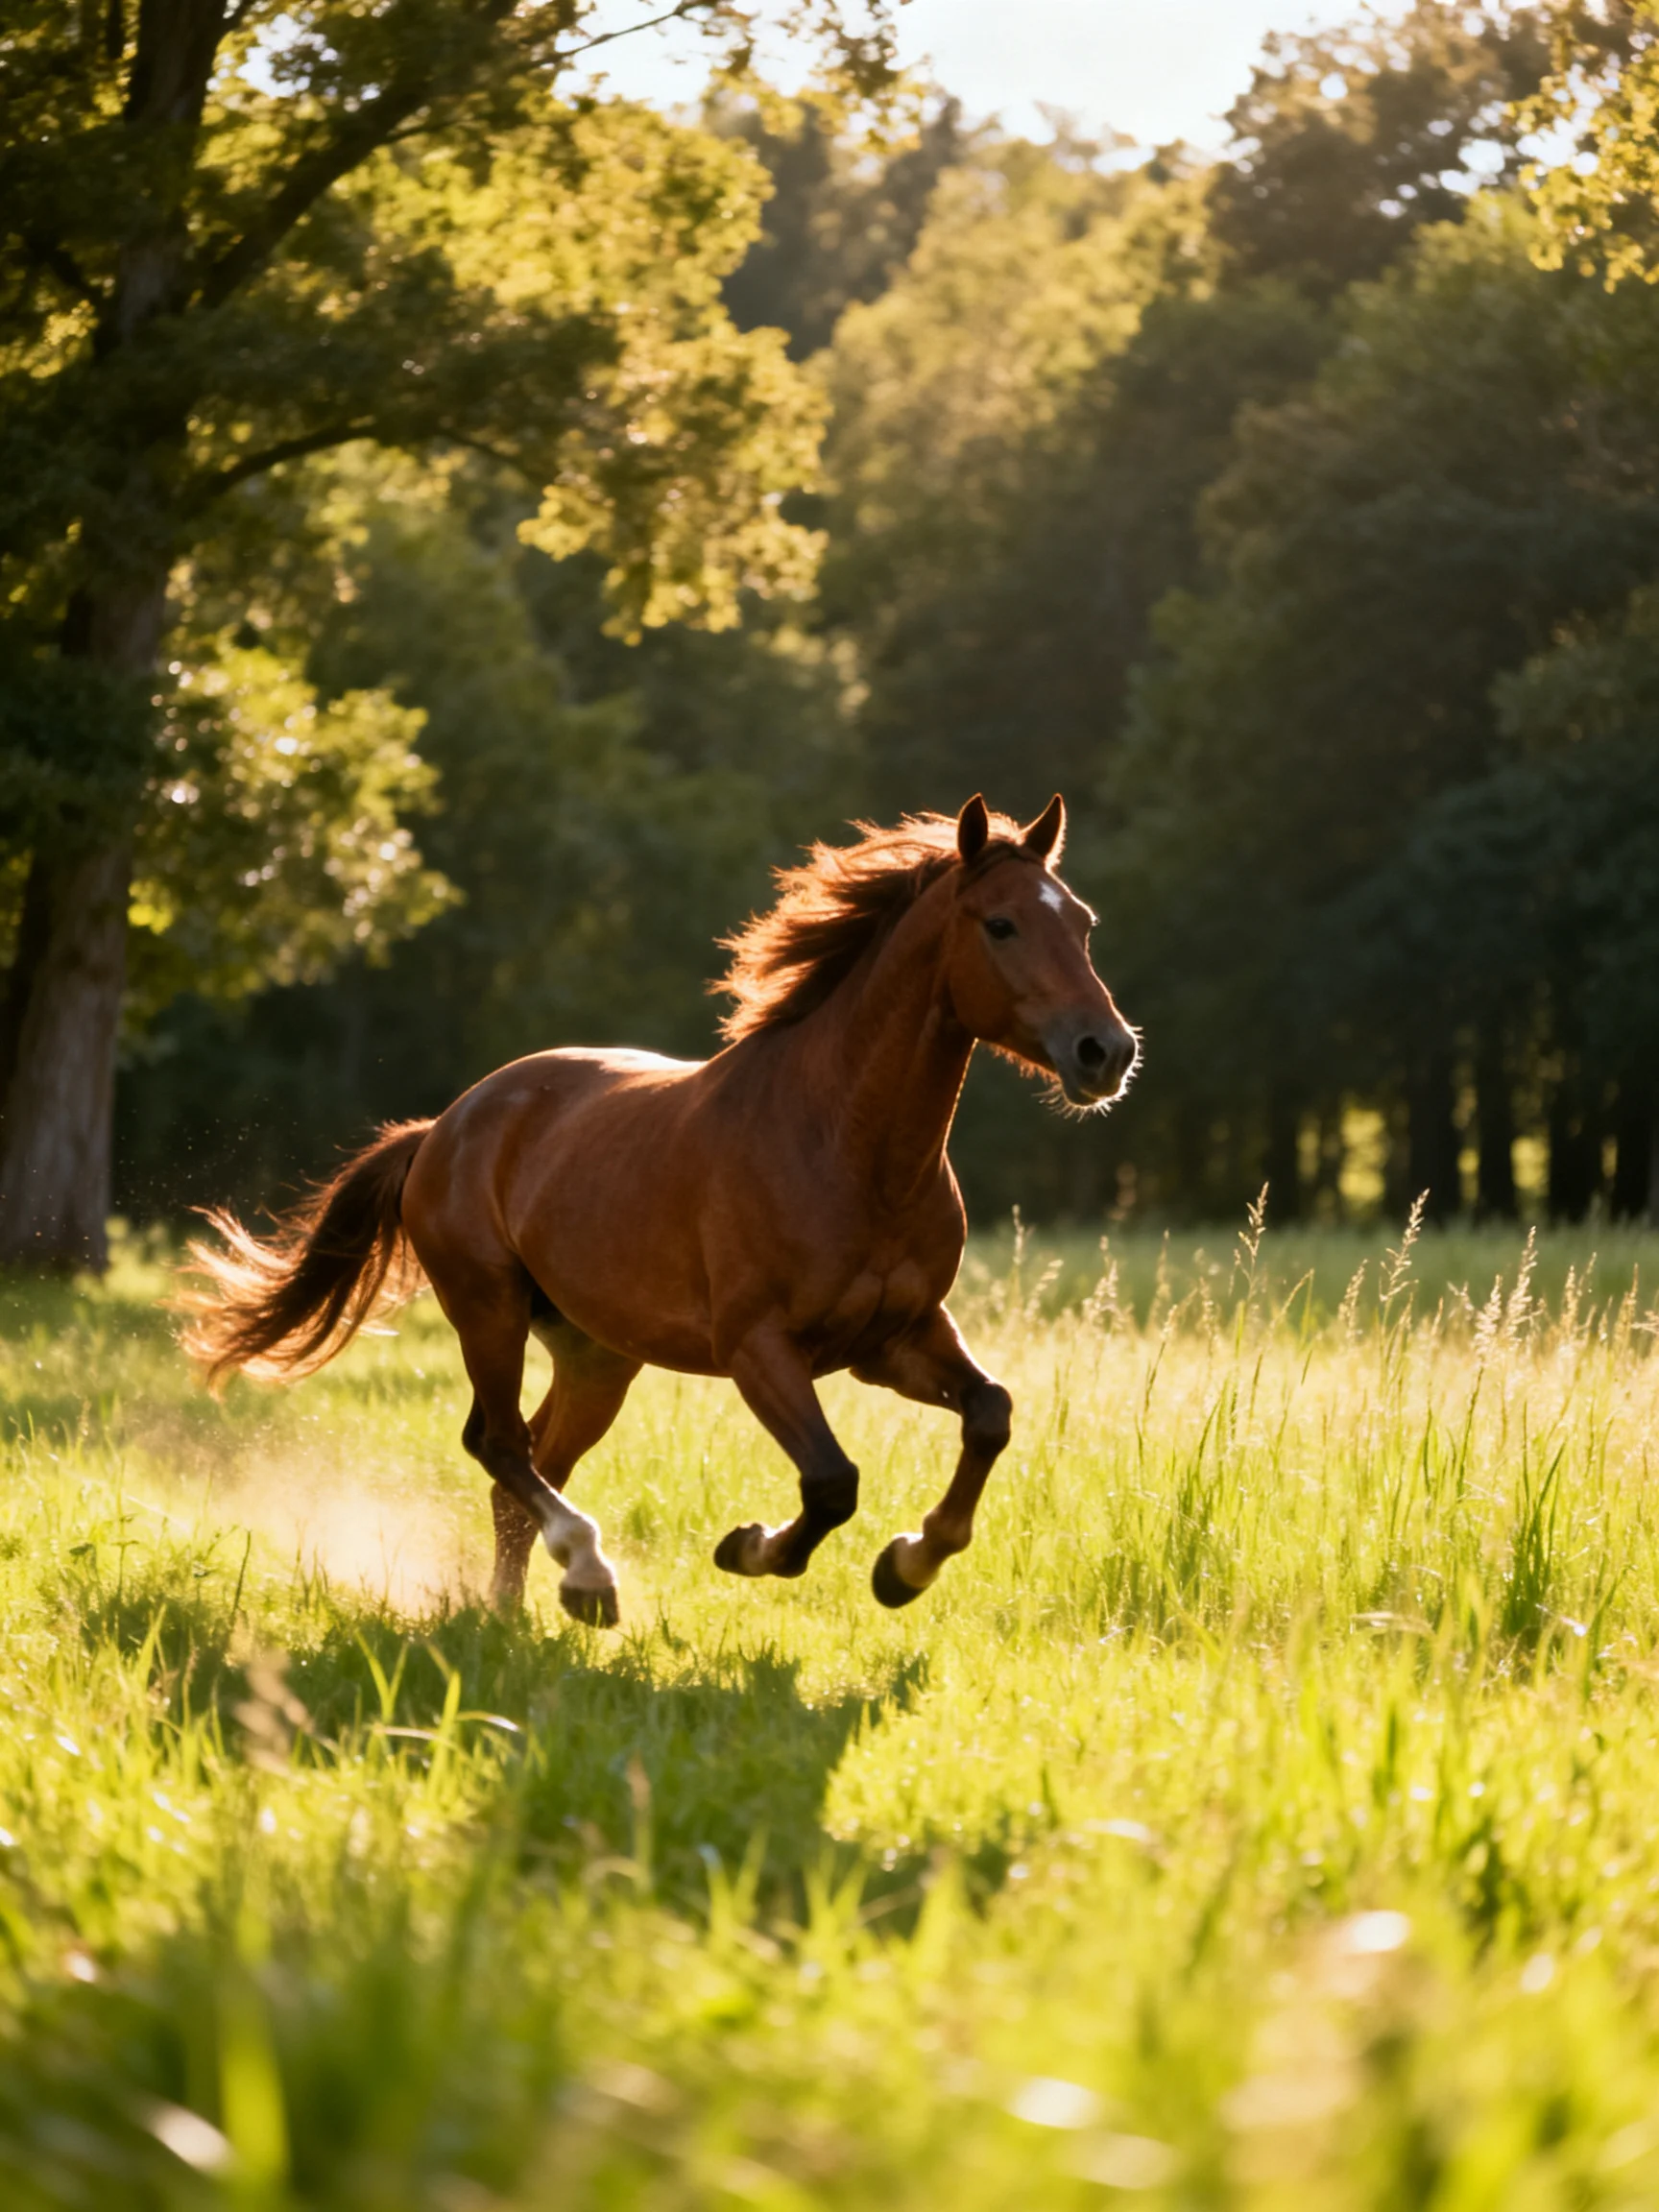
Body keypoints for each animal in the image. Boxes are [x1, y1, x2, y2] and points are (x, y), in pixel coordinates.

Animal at [183, 794, 1139, 1626]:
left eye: (1086, 923)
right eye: (1001, 924)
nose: (1107, 1052)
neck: (846, 1148)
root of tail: (444, 1126)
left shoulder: (894, 1340)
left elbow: (990, 1413)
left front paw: (907, 1566)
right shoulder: (759, 1348)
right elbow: (833, 1482)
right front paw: (752, 1549)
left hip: (598, 1357)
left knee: (525, 1465)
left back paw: (520, 1611)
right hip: (487, 1309)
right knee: (500, 1446)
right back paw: (589, 1576)